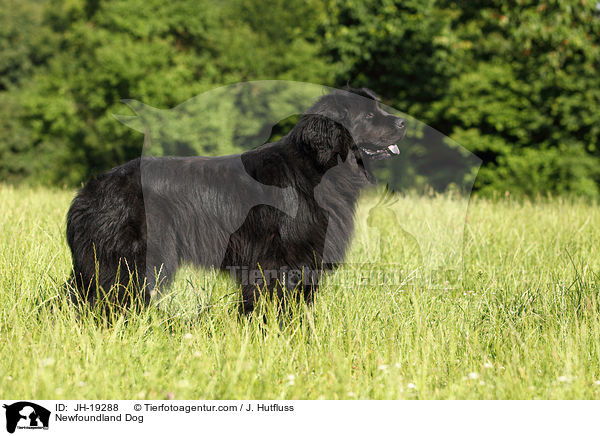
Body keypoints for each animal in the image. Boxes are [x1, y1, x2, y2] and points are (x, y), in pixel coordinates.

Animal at [65, 87, 406, 314]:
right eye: (368, 115)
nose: (402, 122)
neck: (315, 168)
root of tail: (92, 189)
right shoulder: (277, 260)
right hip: (131, 260)